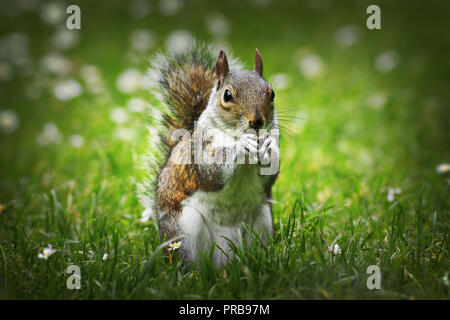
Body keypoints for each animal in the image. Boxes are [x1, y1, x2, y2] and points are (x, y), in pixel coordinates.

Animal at [141, 42, 280, 268]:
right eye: (227, 95)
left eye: (272, 93)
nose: (257, 121)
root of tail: (226, 258)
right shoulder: (201, 148)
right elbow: (212, 171)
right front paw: (241, 146)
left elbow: (270, 175)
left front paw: (266, 146)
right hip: (186, 229)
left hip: (263, 220)